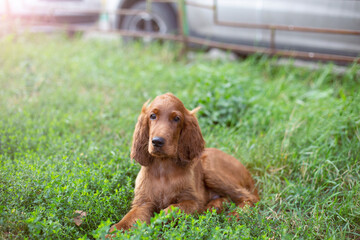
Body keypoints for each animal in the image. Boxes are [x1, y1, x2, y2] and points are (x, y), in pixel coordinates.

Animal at [109, 93, 258, 232]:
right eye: (152, 116)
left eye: (176, 118)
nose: (157, 141)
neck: (163, 168)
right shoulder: (143, 203)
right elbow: (129, 218)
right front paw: (114, 231)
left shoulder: (193, 202)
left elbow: (173, 209)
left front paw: (157, 221)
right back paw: (213, 207)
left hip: (210, 171)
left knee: (250, 198)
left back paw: (236, 215)